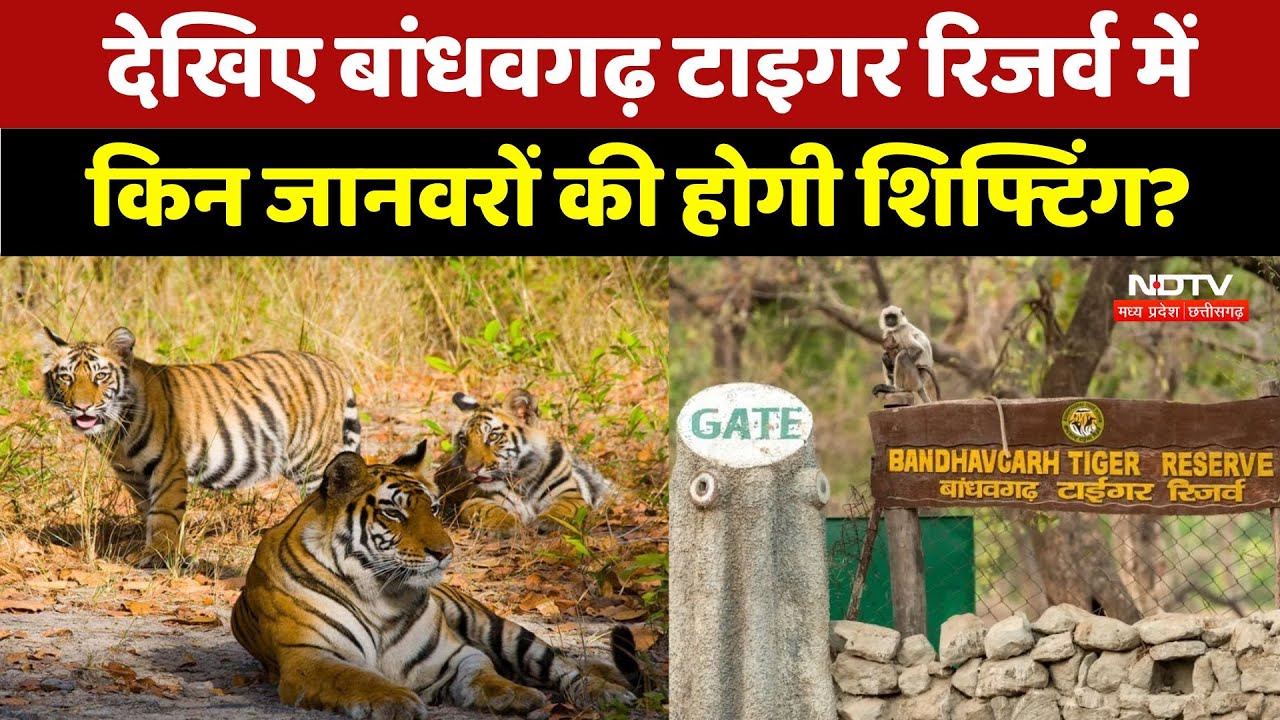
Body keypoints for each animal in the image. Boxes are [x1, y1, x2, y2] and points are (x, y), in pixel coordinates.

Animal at [36, 325, 361, 567]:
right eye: (66, 377)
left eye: (100, 376)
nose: (82, 407)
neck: (116, 433)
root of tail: (331, 365)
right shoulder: (132, 477)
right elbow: (148, 511)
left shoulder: (168, 466)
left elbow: (163, 513)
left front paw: (157, 556)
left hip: (312, 460)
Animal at [230, 448, 642, 719]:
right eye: (394, 513)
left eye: (434, 508)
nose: (446, 551)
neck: (379, 594)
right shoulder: (310, 657)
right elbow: (356, 678)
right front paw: (396, 700)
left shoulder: (454, 654)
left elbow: (482, 673)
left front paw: (515, 695)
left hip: (501, 630)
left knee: (564, 667)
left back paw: (608, 694)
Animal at [420, 388, 615, 537]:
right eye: (464, 440)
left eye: (493, 436)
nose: (472, 469)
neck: (523, 478)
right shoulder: (476, 499)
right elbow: (489, 510)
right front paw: (504, 524)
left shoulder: (569, 493)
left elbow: (564, 506)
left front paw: (548, 521)